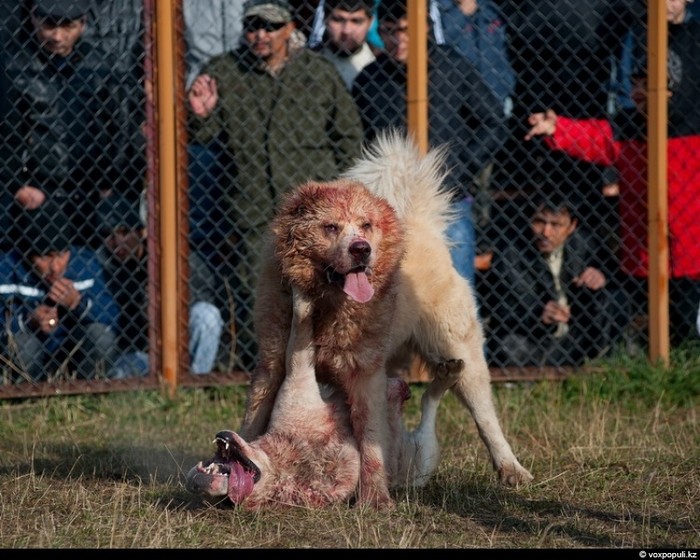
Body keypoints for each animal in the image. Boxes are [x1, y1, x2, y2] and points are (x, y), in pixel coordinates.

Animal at [186, 286, 460, 510]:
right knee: (429, 402)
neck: (286, 458)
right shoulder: (299, 376)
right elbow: (299, 327)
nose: (195, 482)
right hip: (425, 456)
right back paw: (444, 377)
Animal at [241, 129, 536, 506]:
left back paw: (511, 469)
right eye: (330, 227)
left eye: (365, 225)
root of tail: (423, 227)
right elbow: (253, 420)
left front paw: (375, 500)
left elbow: (371, 441)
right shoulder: (271, 365)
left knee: (484, 415)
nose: (361, 249)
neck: (329, 305)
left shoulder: (365, 375)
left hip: (462, 353)